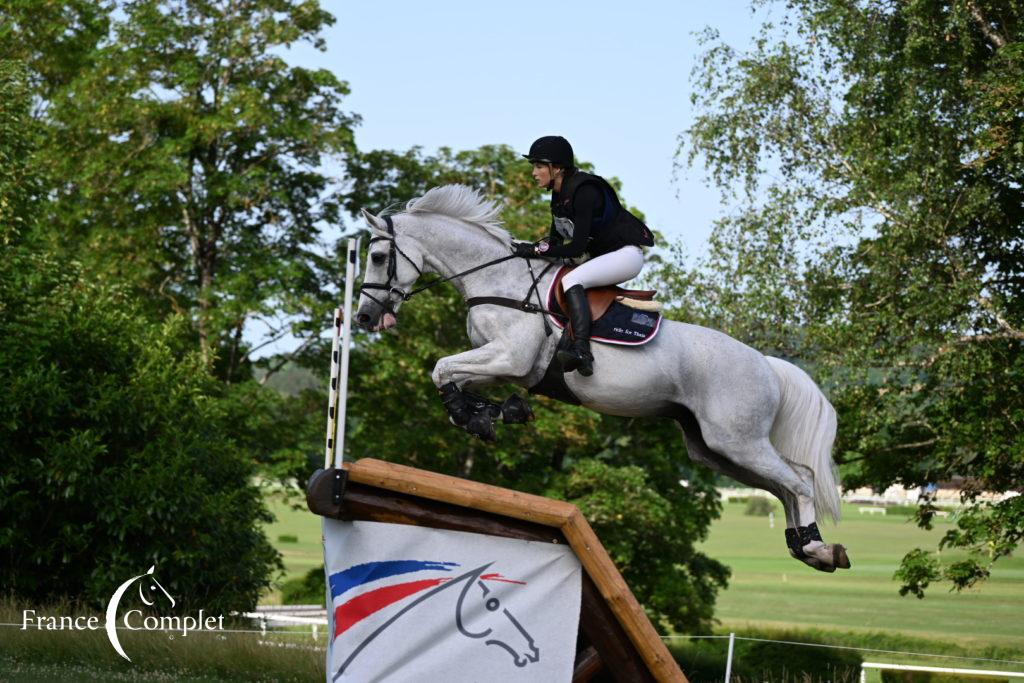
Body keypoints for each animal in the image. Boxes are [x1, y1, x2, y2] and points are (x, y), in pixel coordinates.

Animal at [352, 184, 847, 573]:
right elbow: (451, 377)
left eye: (377, 256)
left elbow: (441, 368)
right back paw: (807, 546)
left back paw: (818, 550)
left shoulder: (509, 358)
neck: (499, 281)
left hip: (738, 440)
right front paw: (493, 413)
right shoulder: (500, 364)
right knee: (784, 485)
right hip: (713, 448)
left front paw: (480, 417)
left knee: (800, 480)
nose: (364, 317)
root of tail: (765, 363)